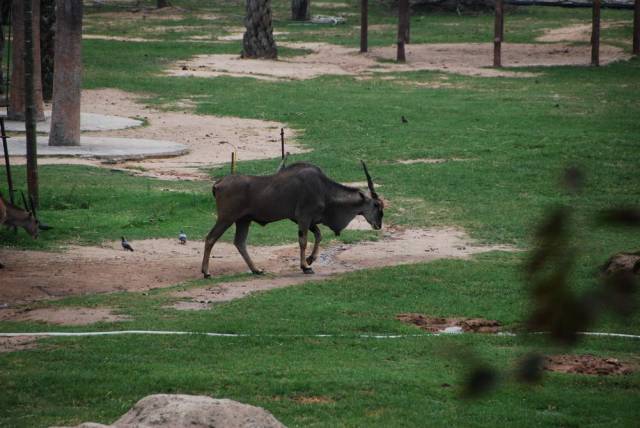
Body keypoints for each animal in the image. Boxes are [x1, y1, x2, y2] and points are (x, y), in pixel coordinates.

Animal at [201, 160, 380, 278]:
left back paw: (256, 270)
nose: (378, 224)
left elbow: (318, 235)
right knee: (210, 238)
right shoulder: (304, 218)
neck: (323, 188)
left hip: (243, 220)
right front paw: (305, 267)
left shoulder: (306, 220)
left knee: (240, 242)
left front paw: (310, 260)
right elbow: (303, 241)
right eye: (377, 205)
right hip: (226, 218)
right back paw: (206, 272)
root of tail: (218, 183)